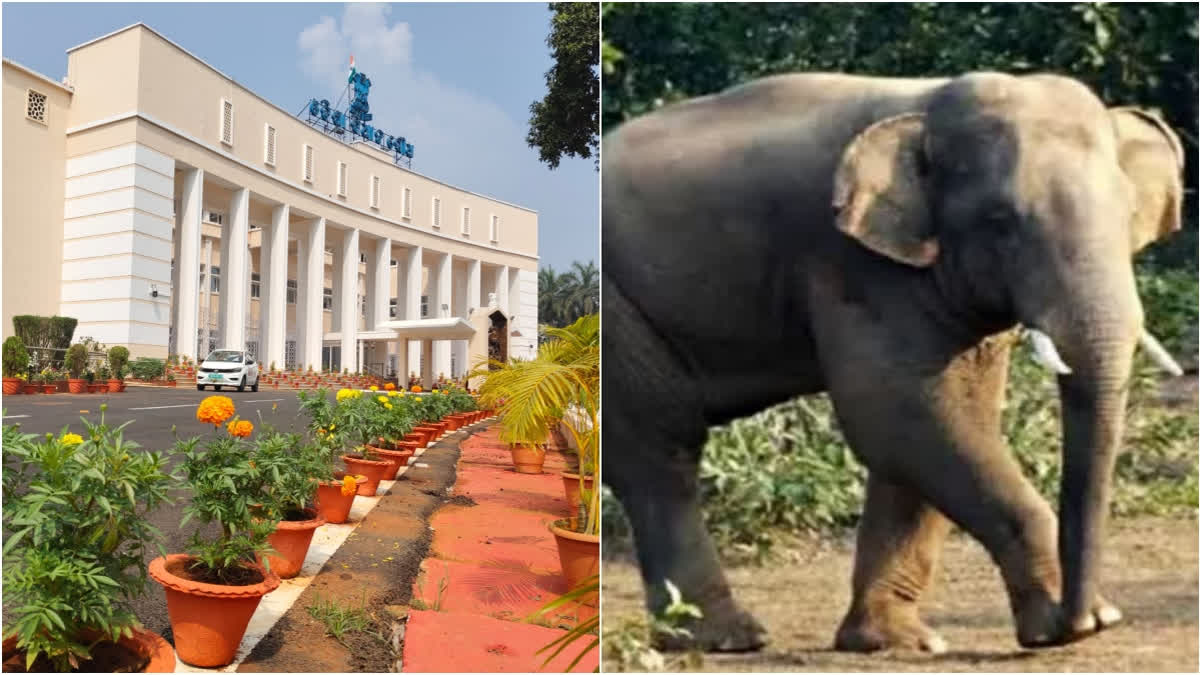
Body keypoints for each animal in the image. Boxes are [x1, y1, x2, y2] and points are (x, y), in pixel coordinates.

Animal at [601, 72, 1186, 654]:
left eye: (1128, 214)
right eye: (1000, 221)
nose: (1086, 617)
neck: (925, 106)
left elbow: (935, 426)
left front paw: (897, 642)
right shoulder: (857, 265)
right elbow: (900, 415)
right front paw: (1059, 630)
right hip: (613, 315)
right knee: (662, 451)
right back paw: (726, 639)